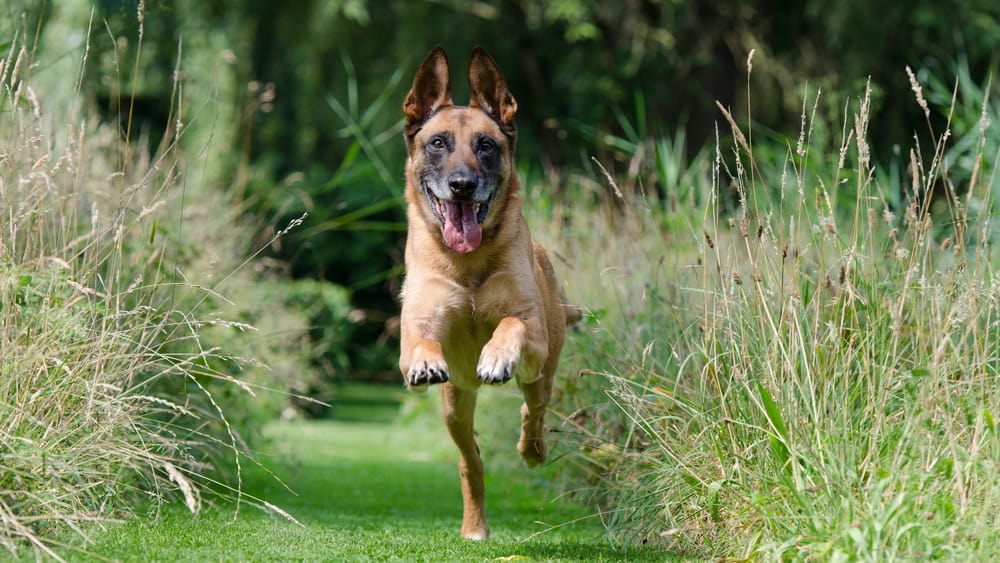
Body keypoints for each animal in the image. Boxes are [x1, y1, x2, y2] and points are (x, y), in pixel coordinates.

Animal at [398, 46, 580, 540]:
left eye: (486, 145)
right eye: (438, 143)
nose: (462, 185)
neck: (468, 264)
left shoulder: (531, 329)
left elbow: (512, 322)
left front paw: (496, 356)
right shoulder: (418, 324)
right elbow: (420, 341)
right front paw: (425, 360)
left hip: (542, 372)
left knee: (533, 412)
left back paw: (532, 449)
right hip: (455, 406)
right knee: (471, 461)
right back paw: (474, 525)